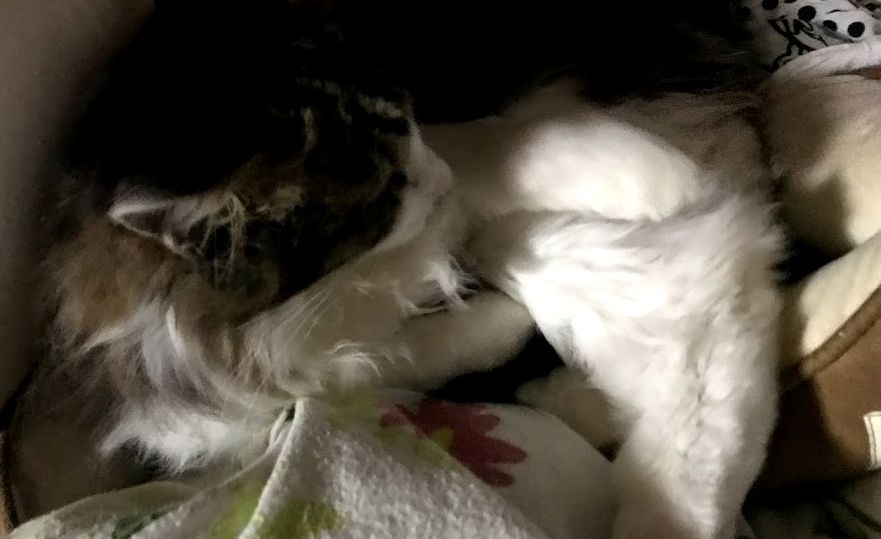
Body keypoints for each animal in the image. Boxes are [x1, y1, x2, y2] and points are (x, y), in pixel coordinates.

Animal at [12, 1, 781, 538]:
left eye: (409, 114)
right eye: (381, 191)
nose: (430, 179)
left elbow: (483, 149)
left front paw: (644, 174)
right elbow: (364, 365)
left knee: (703, 346)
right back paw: (567, 397)